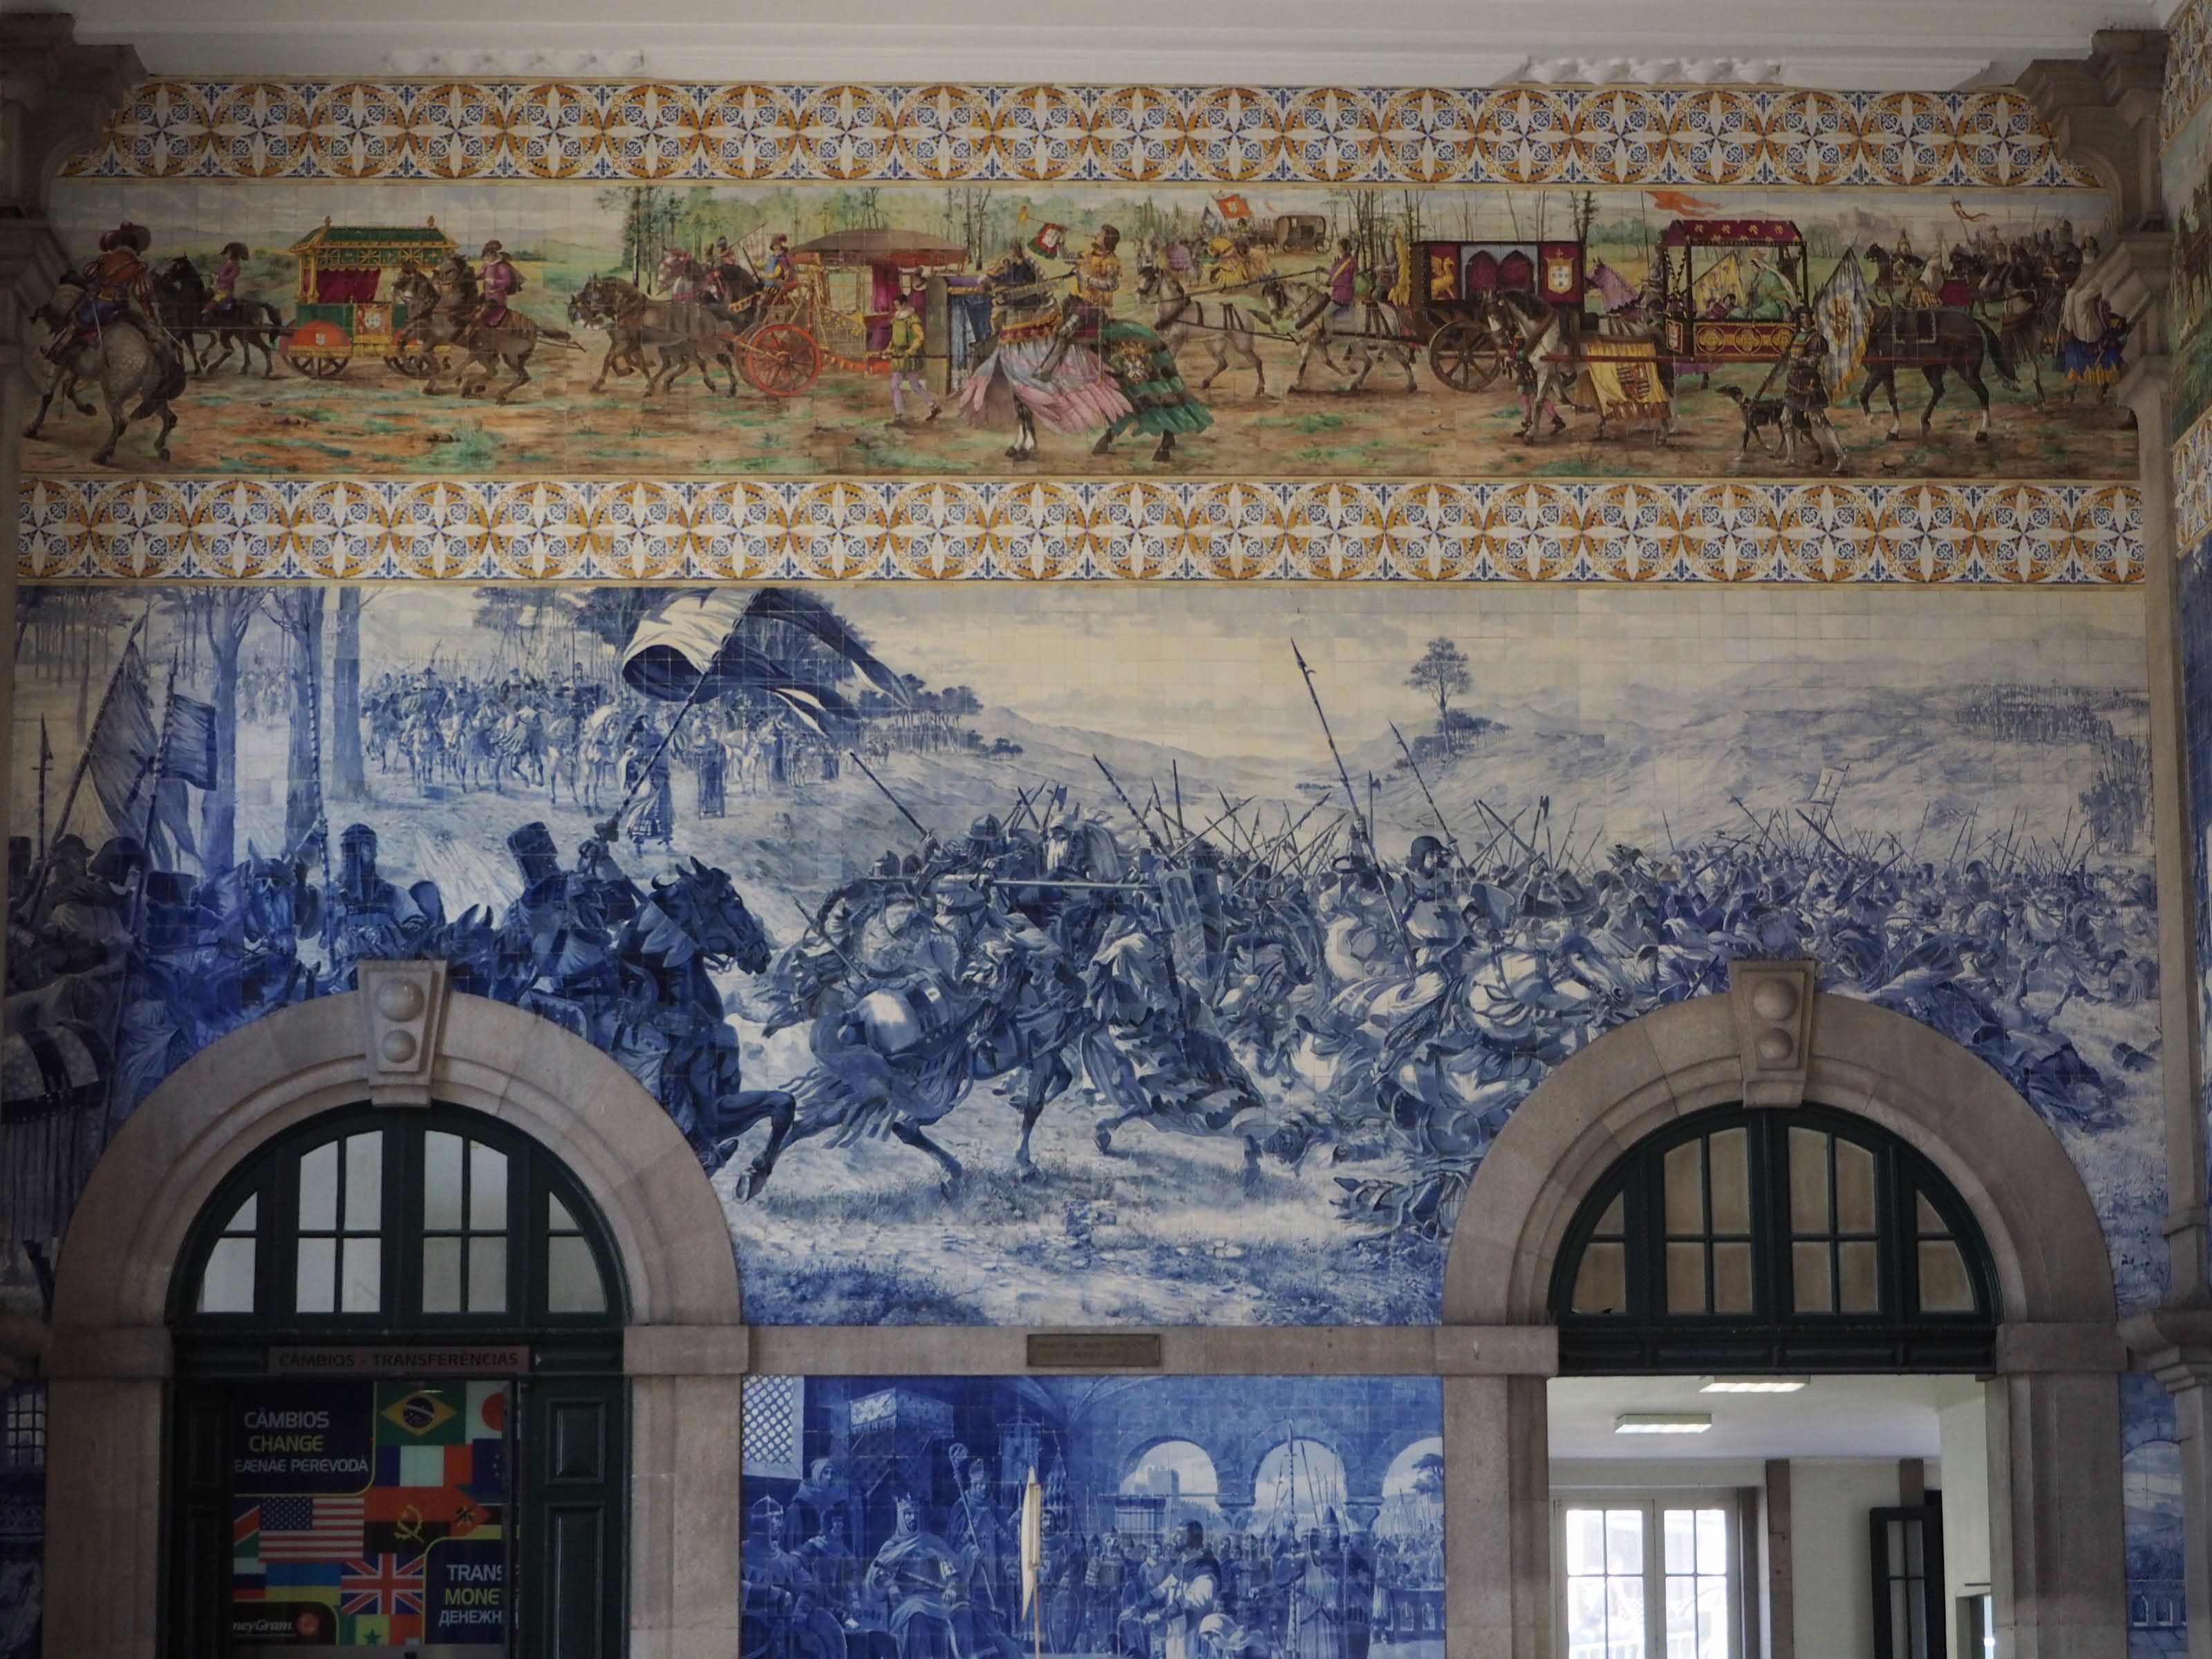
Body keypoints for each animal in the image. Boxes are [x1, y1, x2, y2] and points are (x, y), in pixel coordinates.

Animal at [24, 271, 186, 466]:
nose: (34, 314)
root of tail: (153, 347)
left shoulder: (60, 364)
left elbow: (48, 395)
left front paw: (33, 428)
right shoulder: (77, 367)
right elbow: (69, 387)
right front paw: (87, 409)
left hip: (114, 395)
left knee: (121, 422)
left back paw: (103, 454)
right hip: (151, 395)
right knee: (170, 418)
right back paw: (160, 449)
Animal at [388, 265, 577, 404]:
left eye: (405, 277)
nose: (393, 287)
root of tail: (535, 328)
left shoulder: (436, 336)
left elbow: (423, 353)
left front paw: (422, 370)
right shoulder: (422, 331)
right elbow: (405, 343)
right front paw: (421, 370)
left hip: (504, 355)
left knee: (505, 373)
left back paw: (488, 392)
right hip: (495, 353)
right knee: (499, 371)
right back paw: (470, 385)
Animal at [1133, 259, 1270, 394]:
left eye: (1151, 278)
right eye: (1142, 277)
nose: (1139, 296)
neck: (1175, 310)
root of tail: (1247, 312)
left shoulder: (1176, 342)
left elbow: (1168, 363)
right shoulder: (1164, 341)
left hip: (1242, 346)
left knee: (1257, 362)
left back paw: (1260, 389)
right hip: (1213, 345)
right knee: (1223, 364)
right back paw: (1206, 383)